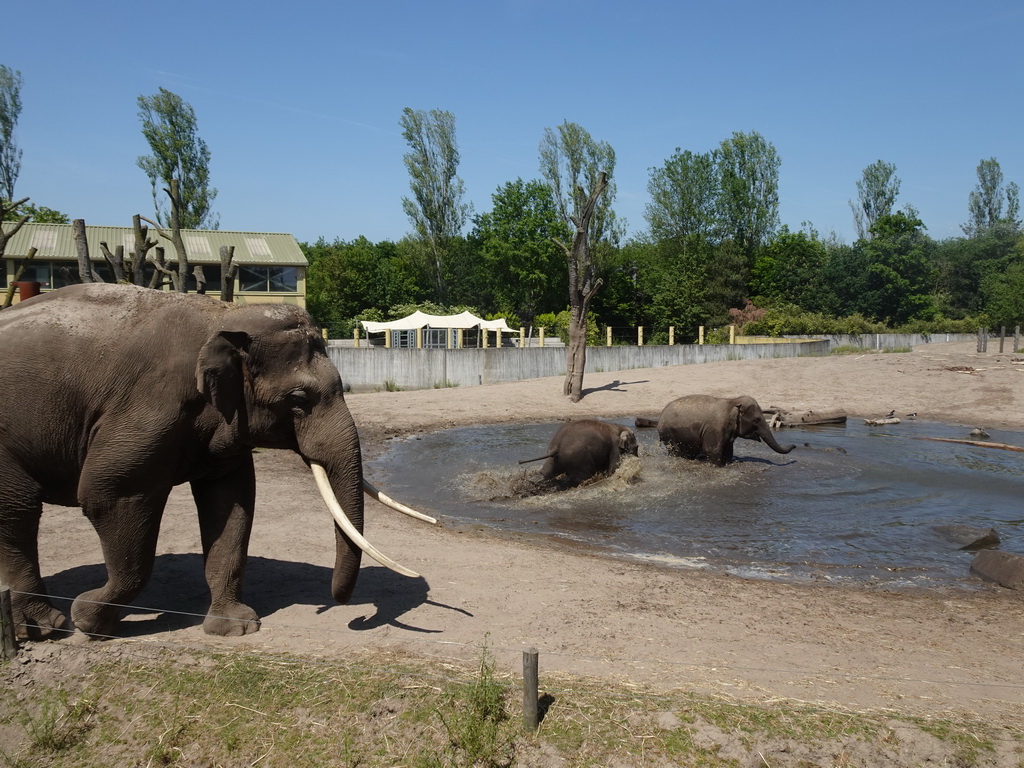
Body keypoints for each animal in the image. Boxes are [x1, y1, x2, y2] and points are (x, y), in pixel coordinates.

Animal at [0, 286, 436, 638]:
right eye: (299, 399)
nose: (344, 608)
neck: (223, 316)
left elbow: (231, 502)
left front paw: (236, 628)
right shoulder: (147, 406)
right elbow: (108, 494)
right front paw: (89, 621)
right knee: (18, 509)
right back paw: (46, 627)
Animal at [638, 397, 798, 468]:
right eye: (756, 420)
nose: (795, 445)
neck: (732, 402)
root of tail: (660, 418)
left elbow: (728, 451)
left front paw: (727, 463)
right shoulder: (715, 429)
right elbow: (711, 451)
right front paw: (718, 466)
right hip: (669, 434)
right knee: (676, 452)